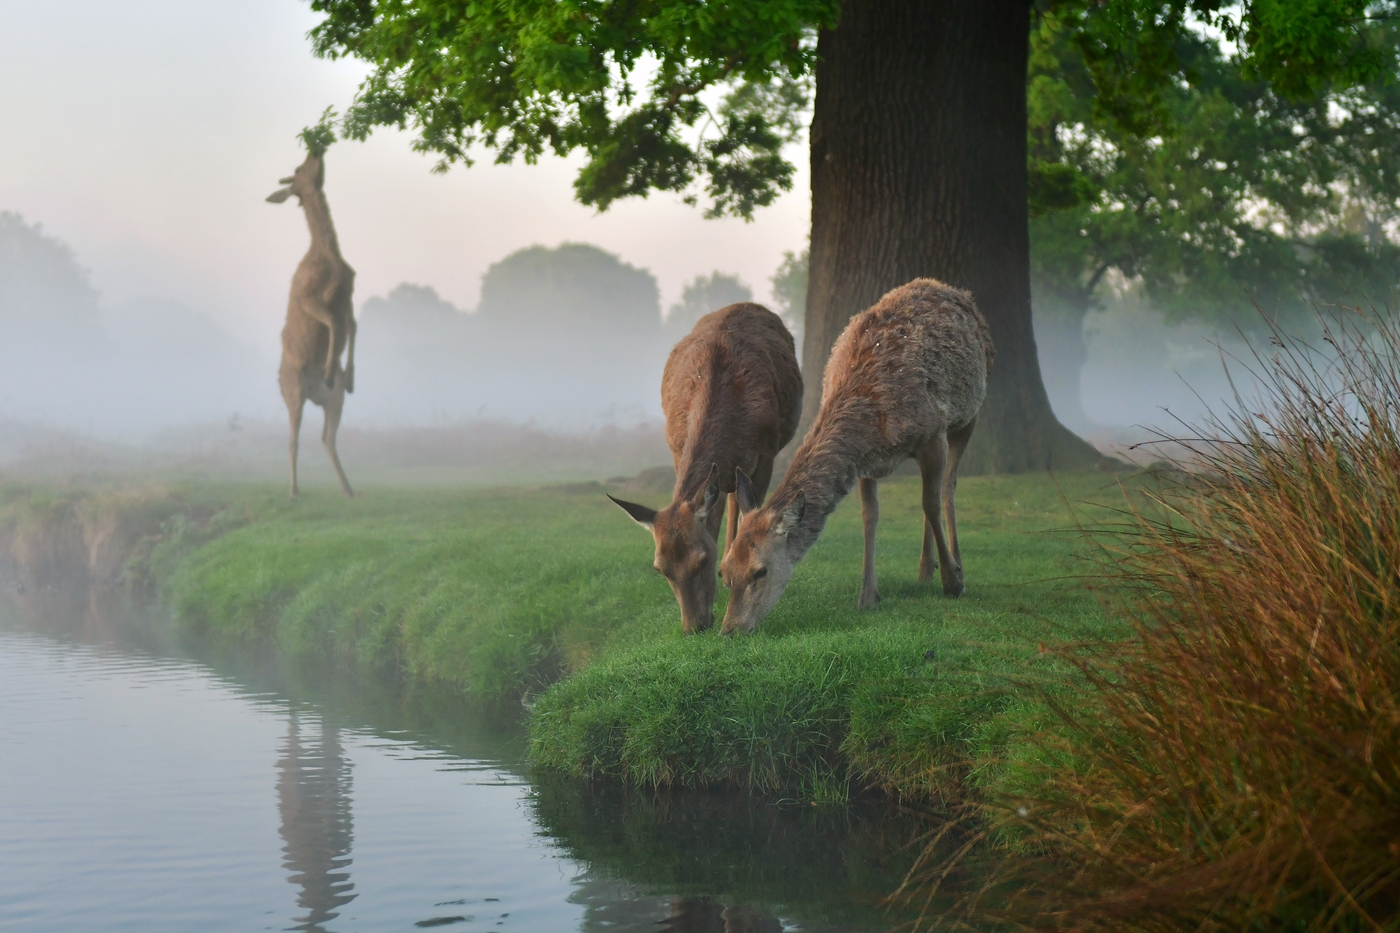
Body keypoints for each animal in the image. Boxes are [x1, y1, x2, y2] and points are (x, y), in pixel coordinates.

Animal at [264, 150, 355, 493]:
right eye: (298, 168)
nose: (316, 148)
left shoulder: (348, 298)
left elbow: (352, 327)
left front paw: (350, 376)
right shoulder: (307, 297)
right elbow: (332, 324)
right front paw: (329, 369)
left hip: (334, 402)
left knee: (327, 437)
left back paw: (348, 490)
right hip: (293, 391)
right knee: (293, 440)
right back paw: (293, 490)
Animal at [610, 303, 800, 633]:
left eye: (702, 560)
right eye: (660, 569)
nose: (694, 627)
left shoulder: (767, 453)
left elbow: (750, 515)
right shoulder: (677, 450)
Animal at [722, 275, 996, 636]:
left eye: (760, 571)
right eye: (726, 571)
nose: (729, 628)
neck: (872, 419)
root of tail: (948, 288)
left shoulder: (934, 432)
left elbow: (931, 502)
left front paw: (954, 582)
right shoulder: (867, 462)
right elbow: (871, 516)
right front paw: (868, 595)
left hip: (969, 413)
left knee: (948, 486)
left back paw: (955, 564)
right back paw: (926, 568)